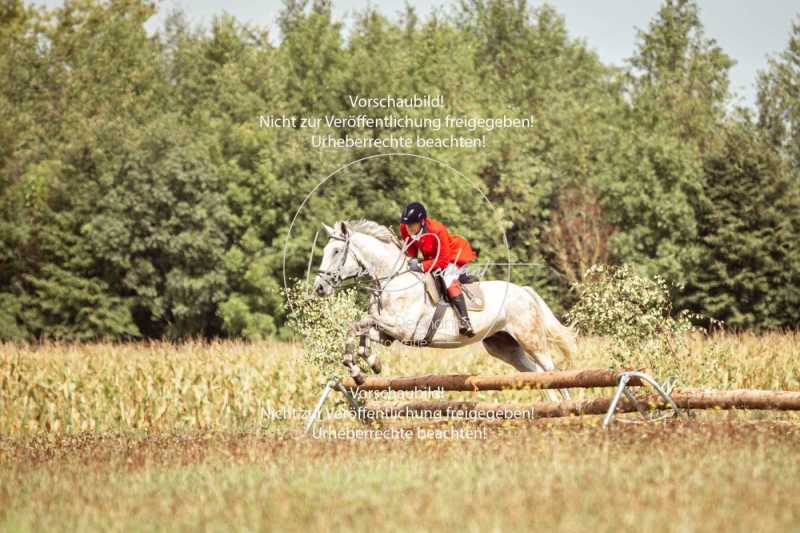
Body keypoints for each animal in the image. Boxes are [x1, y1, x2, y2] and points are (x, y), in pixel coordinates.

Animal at [310, 218, 576, 396]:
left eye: (336, 251)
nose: (319, 288)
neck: (392, 280)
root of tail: (524, 291)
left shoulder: (403, 329)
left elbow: (360, 325)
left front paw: (360, 366)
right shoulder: (387, 333)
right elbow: (360, 328)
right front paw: (366, 367)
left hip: (530, 339)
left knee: (551, 371)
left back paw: (565, 407)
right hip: (504, 346)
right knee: (535, 374)